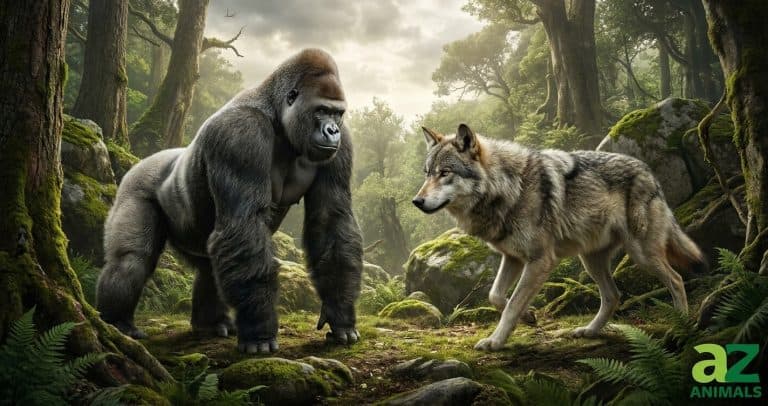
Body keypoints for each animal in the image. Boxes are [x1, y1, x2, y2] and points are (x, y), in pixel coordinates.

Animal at [95, 49, 363, 354]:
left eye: (337, 113)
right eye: (320, 110)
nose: (332, 130)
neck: (277, 116)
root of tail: (144, 161)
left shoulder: (344, 144)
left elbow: (331, 222)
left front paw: (340, 312)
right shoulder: (240, 135)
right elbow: (243, 225)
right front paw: (259, 330)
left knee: (209, 266)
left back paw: (209, 323)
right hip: (134, 185)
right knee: (131, 259)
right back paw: (116, 321)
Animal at [413, 124, 706, 351]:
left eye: (445, 173)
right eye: (427, 173)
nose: (417, 201)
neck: (508, 188)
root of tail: (649, 172)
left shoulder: (540, 260)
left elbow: (512, 303)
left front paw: (496, 341)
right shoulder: (512, 258)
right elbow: (496, 296)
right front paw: (529, 317)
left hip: (641, 254)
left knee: (676, 280)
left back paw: (680, 326)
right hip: (591, 260)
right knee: (613, 296)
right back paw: (589, 331)